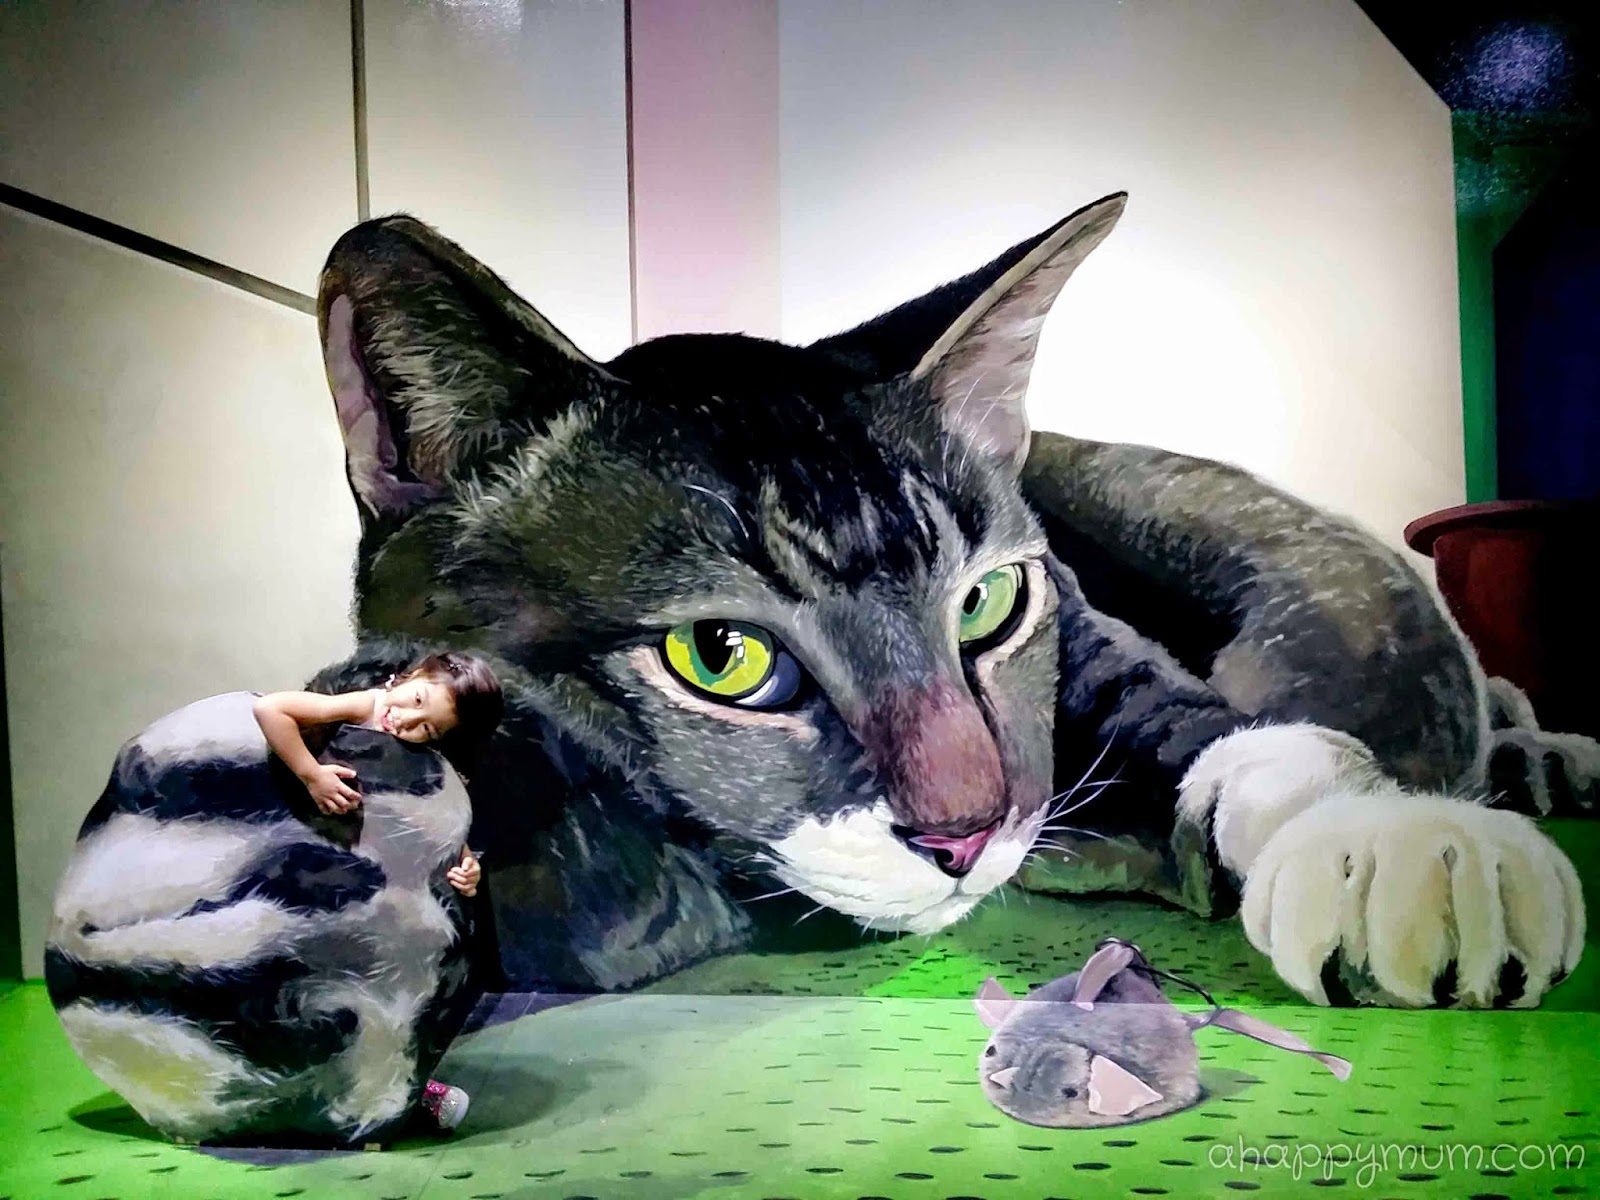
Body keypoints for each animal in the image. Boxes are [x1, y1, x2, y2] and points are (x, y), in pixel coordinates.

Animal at [309, 191, 1591, 1007]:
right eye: (719, 654)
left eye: (983, 605)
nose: (969, 835)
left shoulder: (1082, 629)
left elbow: (1193, 722)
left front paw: (1394, 846)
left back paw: (1536, 751)